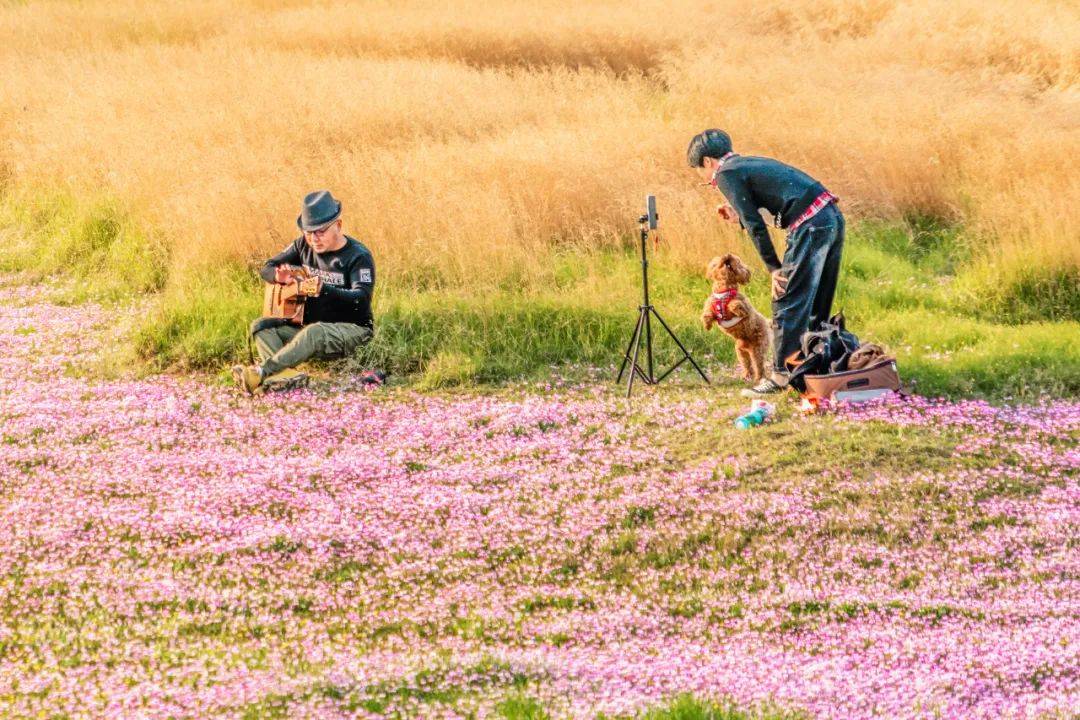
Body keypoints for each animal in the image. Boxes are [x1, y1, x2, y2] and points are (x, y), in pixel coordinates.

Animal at [704, 255, 773, 386]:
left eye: (738, 262)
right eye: (717, 261)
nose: (728, 256)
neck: (724, 290)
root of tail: (768, 323)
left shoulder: (745, 307)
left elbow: (735, 304)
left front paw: (733, 306)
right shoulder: (712, 304)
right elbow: (707, 312)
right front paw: (707, 324)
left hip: (759, 348)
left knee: (759, 365)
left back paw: (759, 378)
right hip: (740, 351)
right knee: (747, 365)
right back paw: (746, 376)